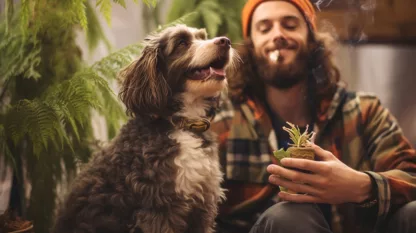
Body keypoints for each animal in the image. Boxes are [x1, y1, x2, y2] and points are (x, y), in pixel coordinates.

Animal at [52, 24, 237, 233]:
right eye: (182, 43)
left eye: (203, 37)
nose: (225, 41)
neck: (180, 124)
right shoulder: (158, 210)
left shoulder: (203, 207)